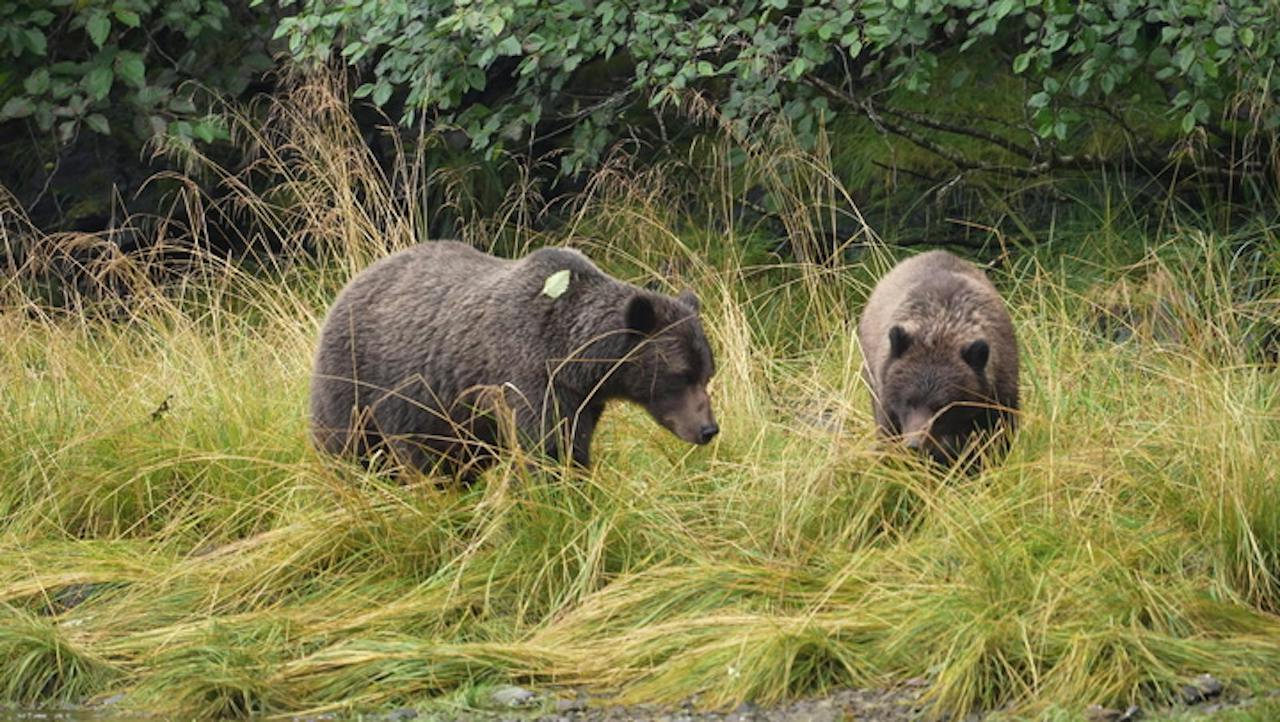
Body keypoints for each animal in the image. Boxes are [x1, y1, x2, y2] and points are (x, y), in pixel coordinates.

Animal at [309, 241, 719, 479]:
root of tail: (352, 281)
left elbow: (574, 444)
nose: (708, 429)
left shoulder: (583, 399)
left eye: (707, 373)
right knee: (347, 445)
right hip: (358, 376)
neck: (573, 359)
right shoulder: (528, 375)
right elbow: (546, 447)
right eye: (680, 375)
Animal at [857, 250, 1019, 466]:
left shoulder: (998, 393)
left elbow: (996, 437)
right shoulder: (887, 399)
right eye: (908, 400)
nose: (914, 444)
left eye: (941, 406)